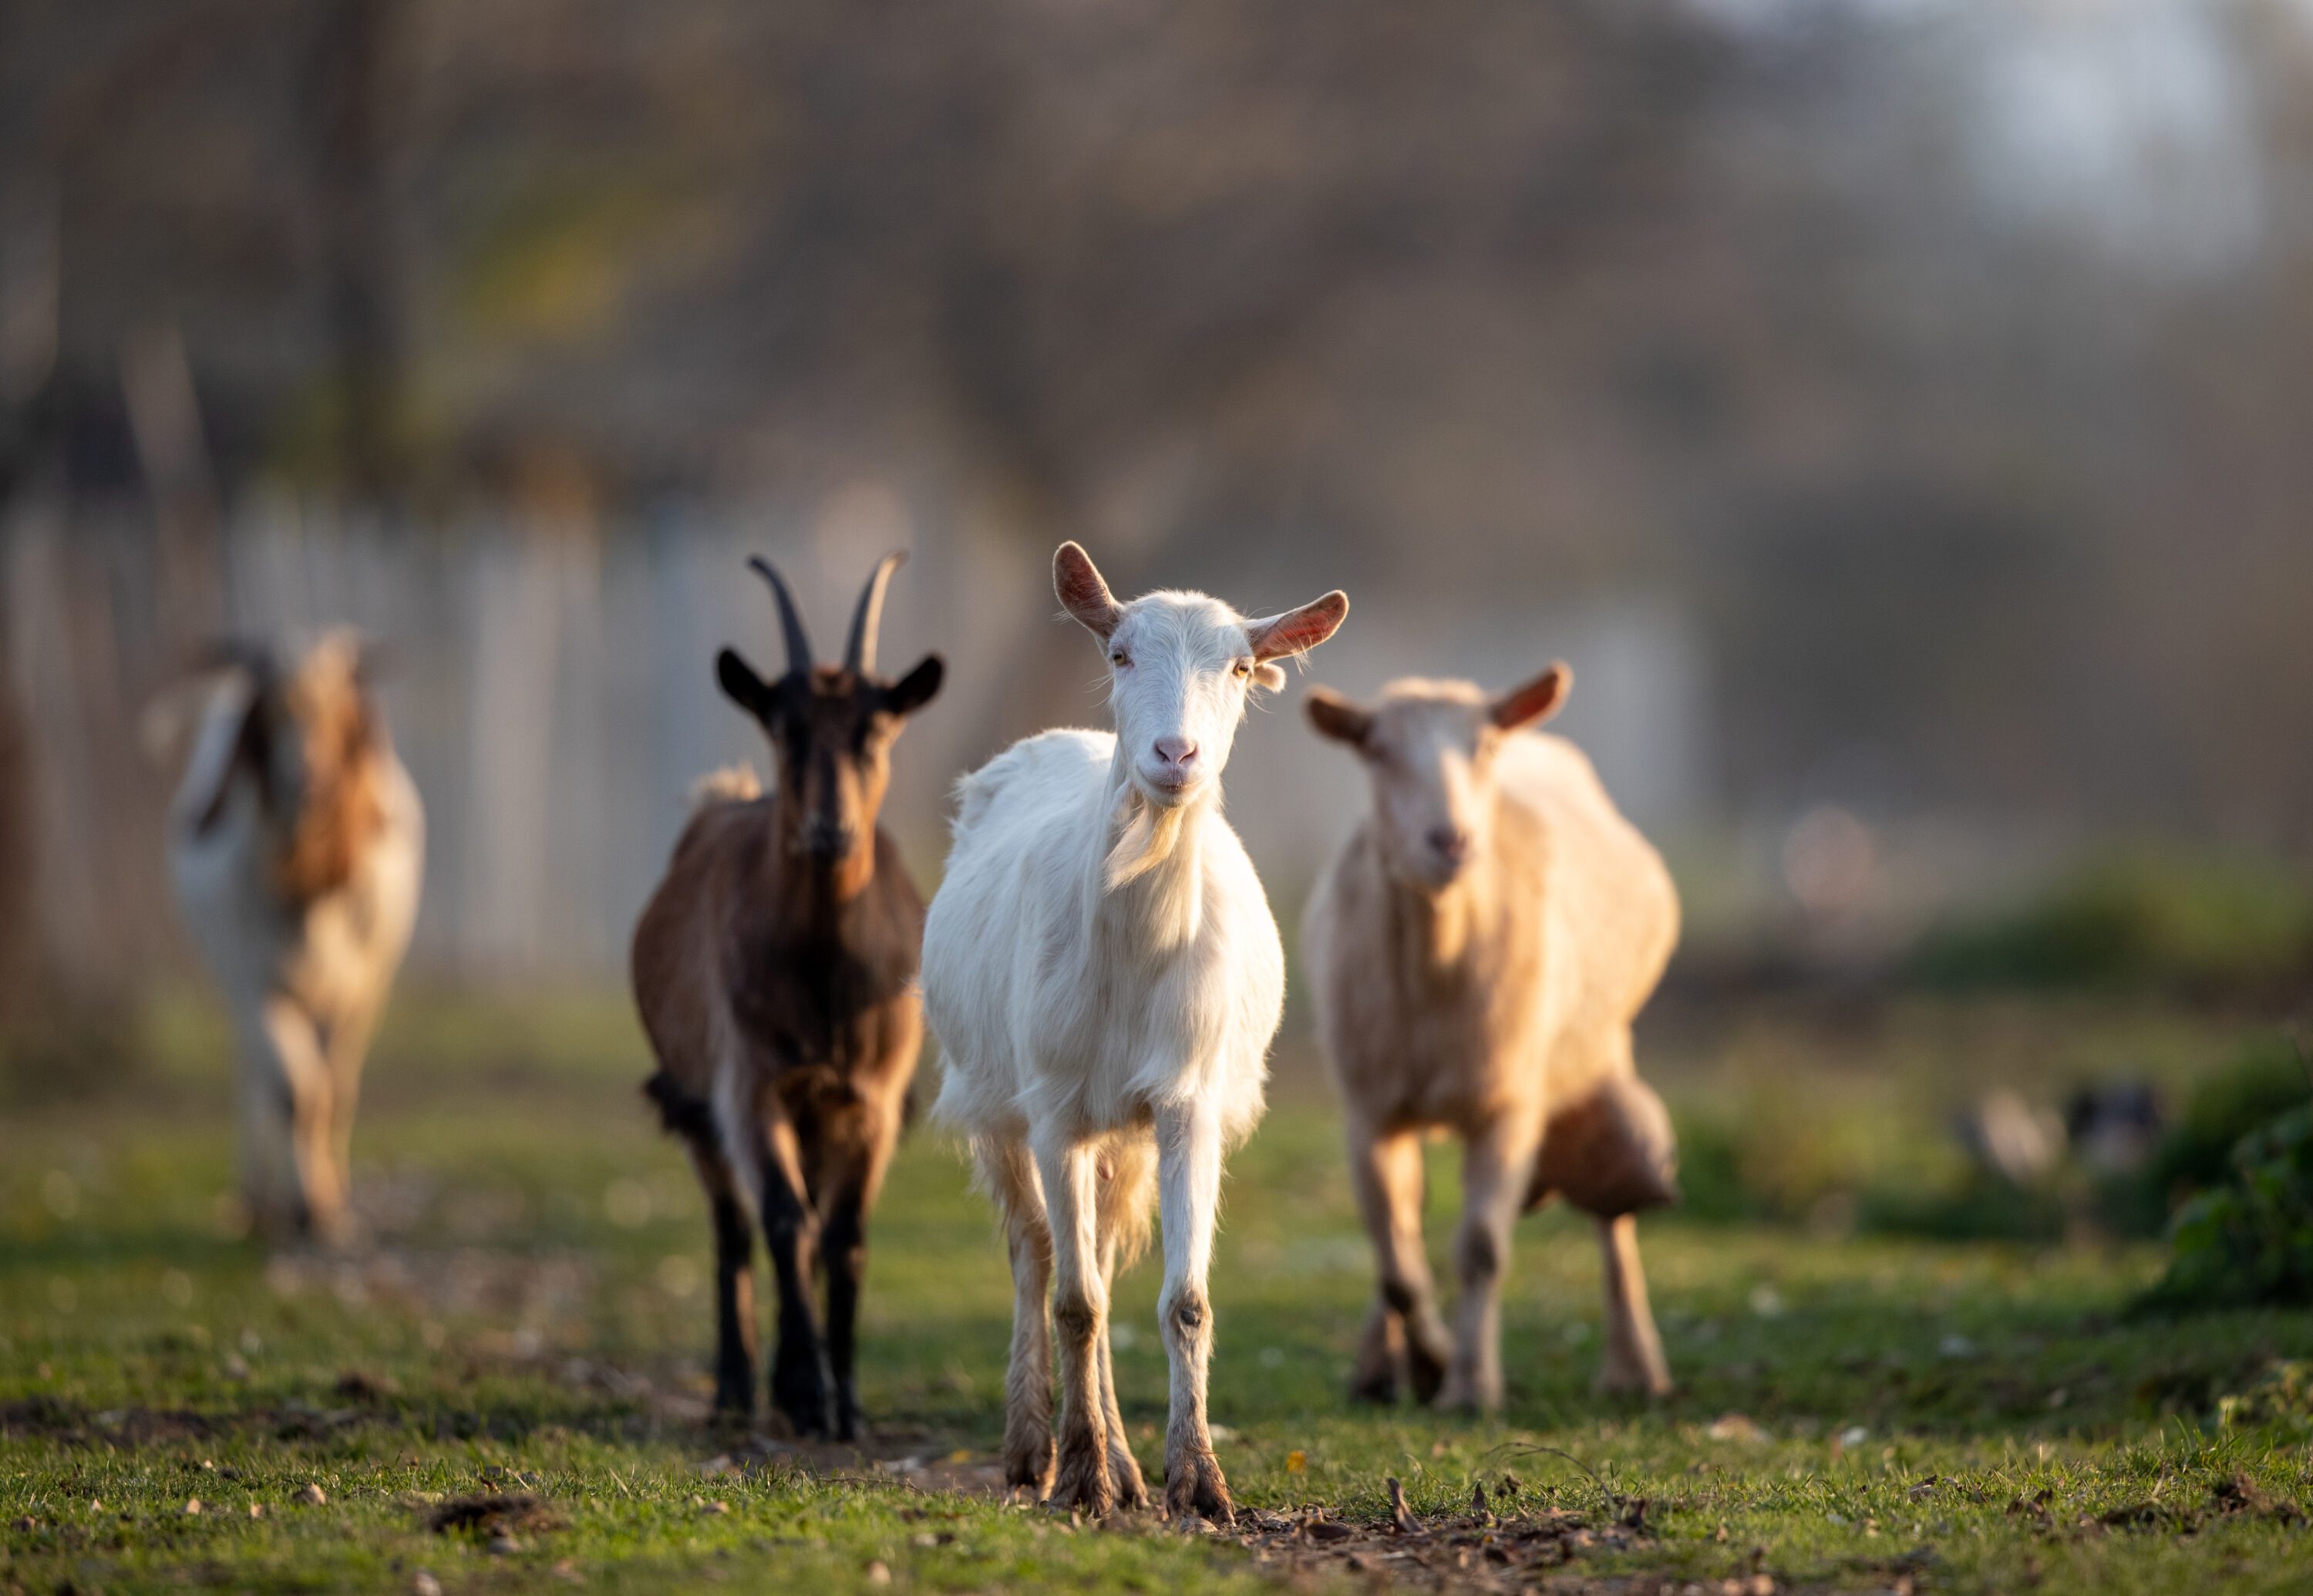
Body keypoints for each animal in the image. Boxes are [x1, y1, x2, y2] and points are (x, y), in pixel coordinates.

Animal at [166, 629, 424, 1245]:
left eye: (341, 715)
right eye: (270, 716)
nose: (313, 783)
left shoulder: (361, 992)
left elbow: (334, 1089)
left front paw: (330, 1203)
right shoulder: (253, 983)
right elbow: (294, 1092)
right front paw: (306, 1207)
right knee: (254, 1077)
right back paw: (257, 1197)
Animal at [631, 552, 943, 1439]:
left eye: (876, 730)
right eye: (784, 729)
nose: (829, 832)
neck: (825, 980)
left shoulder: (871, 1098)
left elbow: (845, 1235)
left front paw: (847, 1400)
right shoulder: (751, 1082)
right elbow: (783, 1218)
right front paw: (803, 1391)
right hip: (694, 1095)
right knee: (734, 1229)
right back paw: (738, 1388)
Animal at [924, 542, 1348, 1522]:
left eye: (1240, 668)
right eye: (1119, 653)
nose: (1175, 754)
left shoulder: (1187, 1100)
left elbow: (1182, 1299)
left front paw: (1197, 1480)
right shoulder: (1053, 1105)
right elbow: (1073, 1301)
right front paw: (1080, 1475)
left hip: (1129, 1132)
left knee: (1108, 1257)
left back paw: (1120, 1460)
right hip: (993, 1097)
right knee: (1035, 1255)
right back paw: (1035, 1449)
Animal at [1301, 667, 1679, 1409]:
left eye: (1483, 748)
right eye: (1376, 751)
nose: (1450, 842)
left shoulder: (1509, 1104)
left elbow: (1480, 1248)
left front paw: (1469, 1386)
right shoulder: (1369, 1108)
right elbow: (1394, 1258)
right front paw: (1428, 1363)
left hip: (1600, 1047)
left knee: (1613, 1211)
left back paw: (1635, 1366)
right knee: (1405, 1223)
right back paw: (1376, 1368)